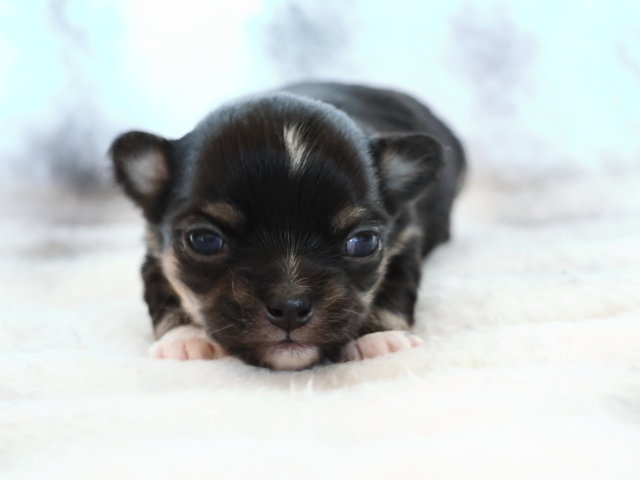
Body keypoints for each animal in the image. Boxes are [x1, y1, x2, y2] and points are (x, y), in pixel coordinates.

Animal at [110, 82, 466, 370]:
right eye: (204, 241)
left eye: (363, 242)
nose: (290, 306)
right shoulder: (155, 251)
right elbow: (164, 295)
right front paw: (184, 339)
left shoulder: (404, 238)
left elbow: (394, 288)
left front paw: (380, 338)